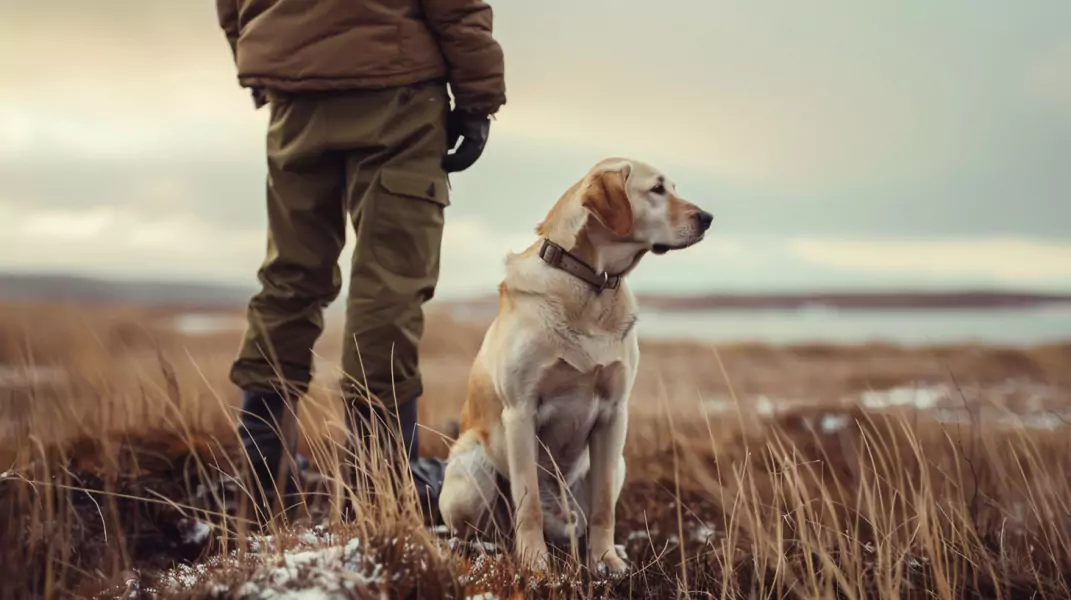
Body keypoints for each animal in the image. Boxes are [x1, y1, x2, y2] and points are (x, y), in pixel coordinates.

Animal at [434, 157, 711, 574]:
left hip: (618, 464)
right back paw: (490, 549)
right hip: (471, 469)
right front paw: (534, 562)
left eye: (673, 187)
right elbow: (528, 502)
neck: (590, 284)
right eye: (657, 189)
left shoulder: (614, 414)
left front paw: (606, 560)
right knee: (472, 531)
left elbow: (603, 506)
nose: (708, 217)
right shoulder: (520, 412)